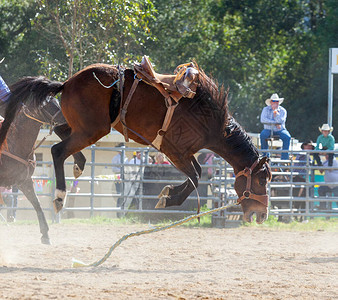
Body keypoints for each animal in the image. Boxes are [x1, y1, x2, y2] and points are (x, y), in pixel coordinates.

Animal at [0, 64, 272, 224]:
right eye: (261, 180)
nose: (261, 215)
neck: (209, 120)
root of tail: (67, 83)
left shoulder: (182, 153)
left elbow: (196, 174)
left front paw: (167, 194)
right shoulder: (174, 150)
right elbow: (196, 176)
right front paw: (167, 199)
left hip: (81, 126)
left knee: (60, 131)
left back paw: (79, 164)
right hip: (92, 130)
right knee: (57, 150)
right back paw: (59, 197)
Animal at [0, 78, 86, 244]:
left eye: (56, 101)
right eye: (46, 104)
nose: (67, 119)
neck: (14, 143)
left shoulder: (24, 181)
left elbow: (37, 204)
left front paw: (45, 234)